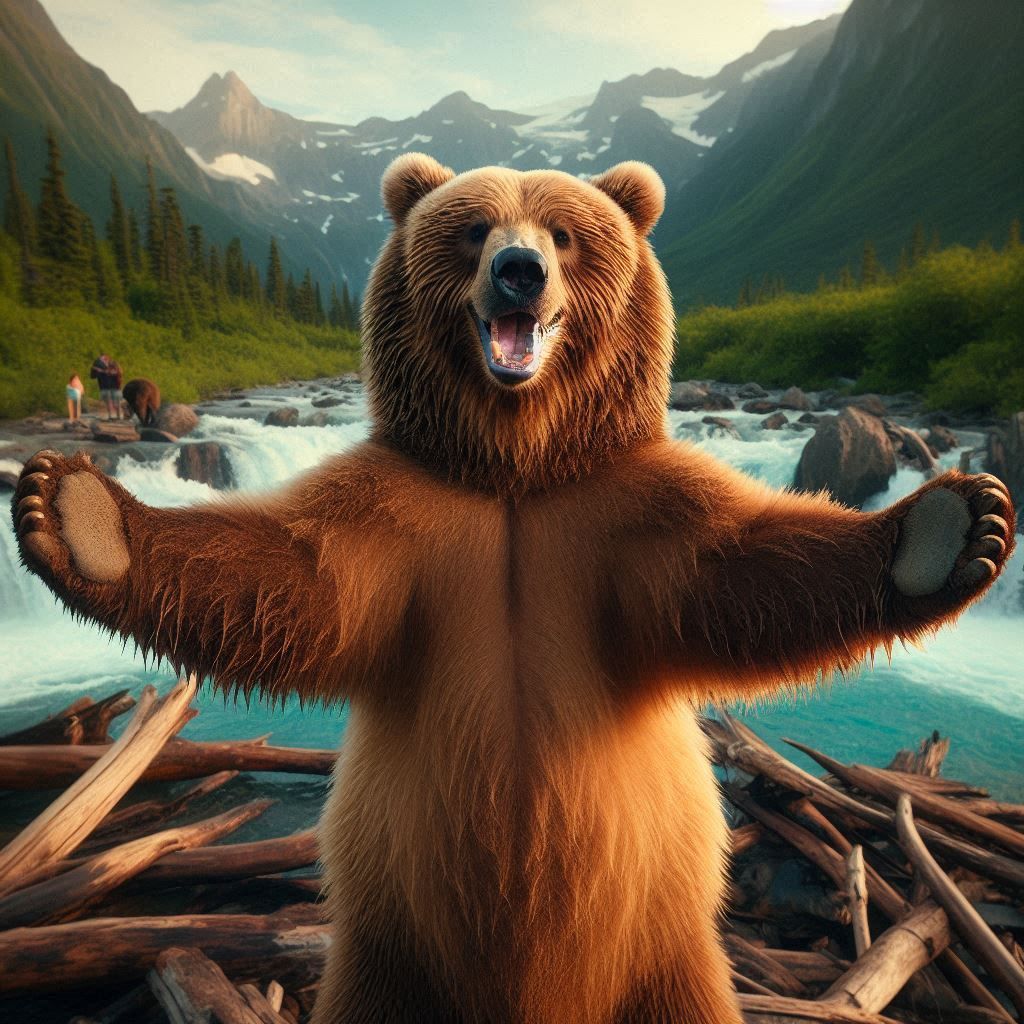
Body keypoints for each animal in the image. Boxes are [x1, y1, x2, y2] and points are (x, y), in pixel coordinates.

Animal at [11, 153, 1015, 1024]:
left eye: (565, 233)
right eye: (474, 229)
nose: (519, 272)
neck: (515, 469)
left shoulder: (626, 511)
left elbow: (740, 571)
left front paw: (952, 525)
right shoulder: (398, 513)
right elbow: (296, 579)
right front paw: (76, 513)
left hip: (661, 956)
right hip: (389, 958)